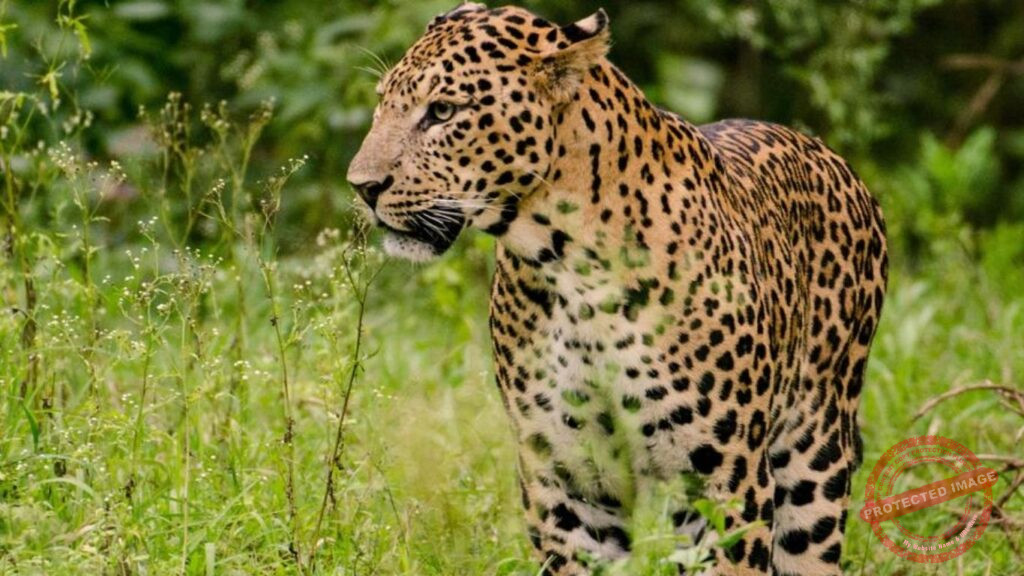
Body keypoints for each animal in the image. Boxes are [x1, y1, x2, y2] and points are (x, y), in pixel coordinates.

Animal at [347, 4, 888, 575]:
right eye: (382, 103)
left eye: (443, 112)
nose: (362, 186)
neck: (568, 269)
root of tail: (827, 153)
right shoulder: (567, 483)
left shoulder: (728, 480)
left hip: (814, 460)